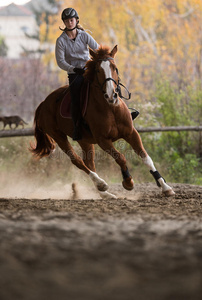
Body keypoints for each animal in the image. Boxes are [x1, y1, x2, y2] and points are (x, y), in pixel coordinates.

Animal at [30, 44, 175, 199]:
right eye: (98, 70)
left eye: (115, 67)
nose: (111, 95)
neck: (110, 107)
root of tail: (43, 103)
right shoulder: (103, 140)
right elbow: (120, 158)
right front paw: (128, 182)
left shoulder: (131, 133)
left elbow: (146, 158)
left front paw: (166, 187)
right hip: (59, 136)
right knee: (77, 161)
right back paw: (101, 184)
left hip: (84, 140)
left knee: (88, 162)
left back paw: (105, 193)